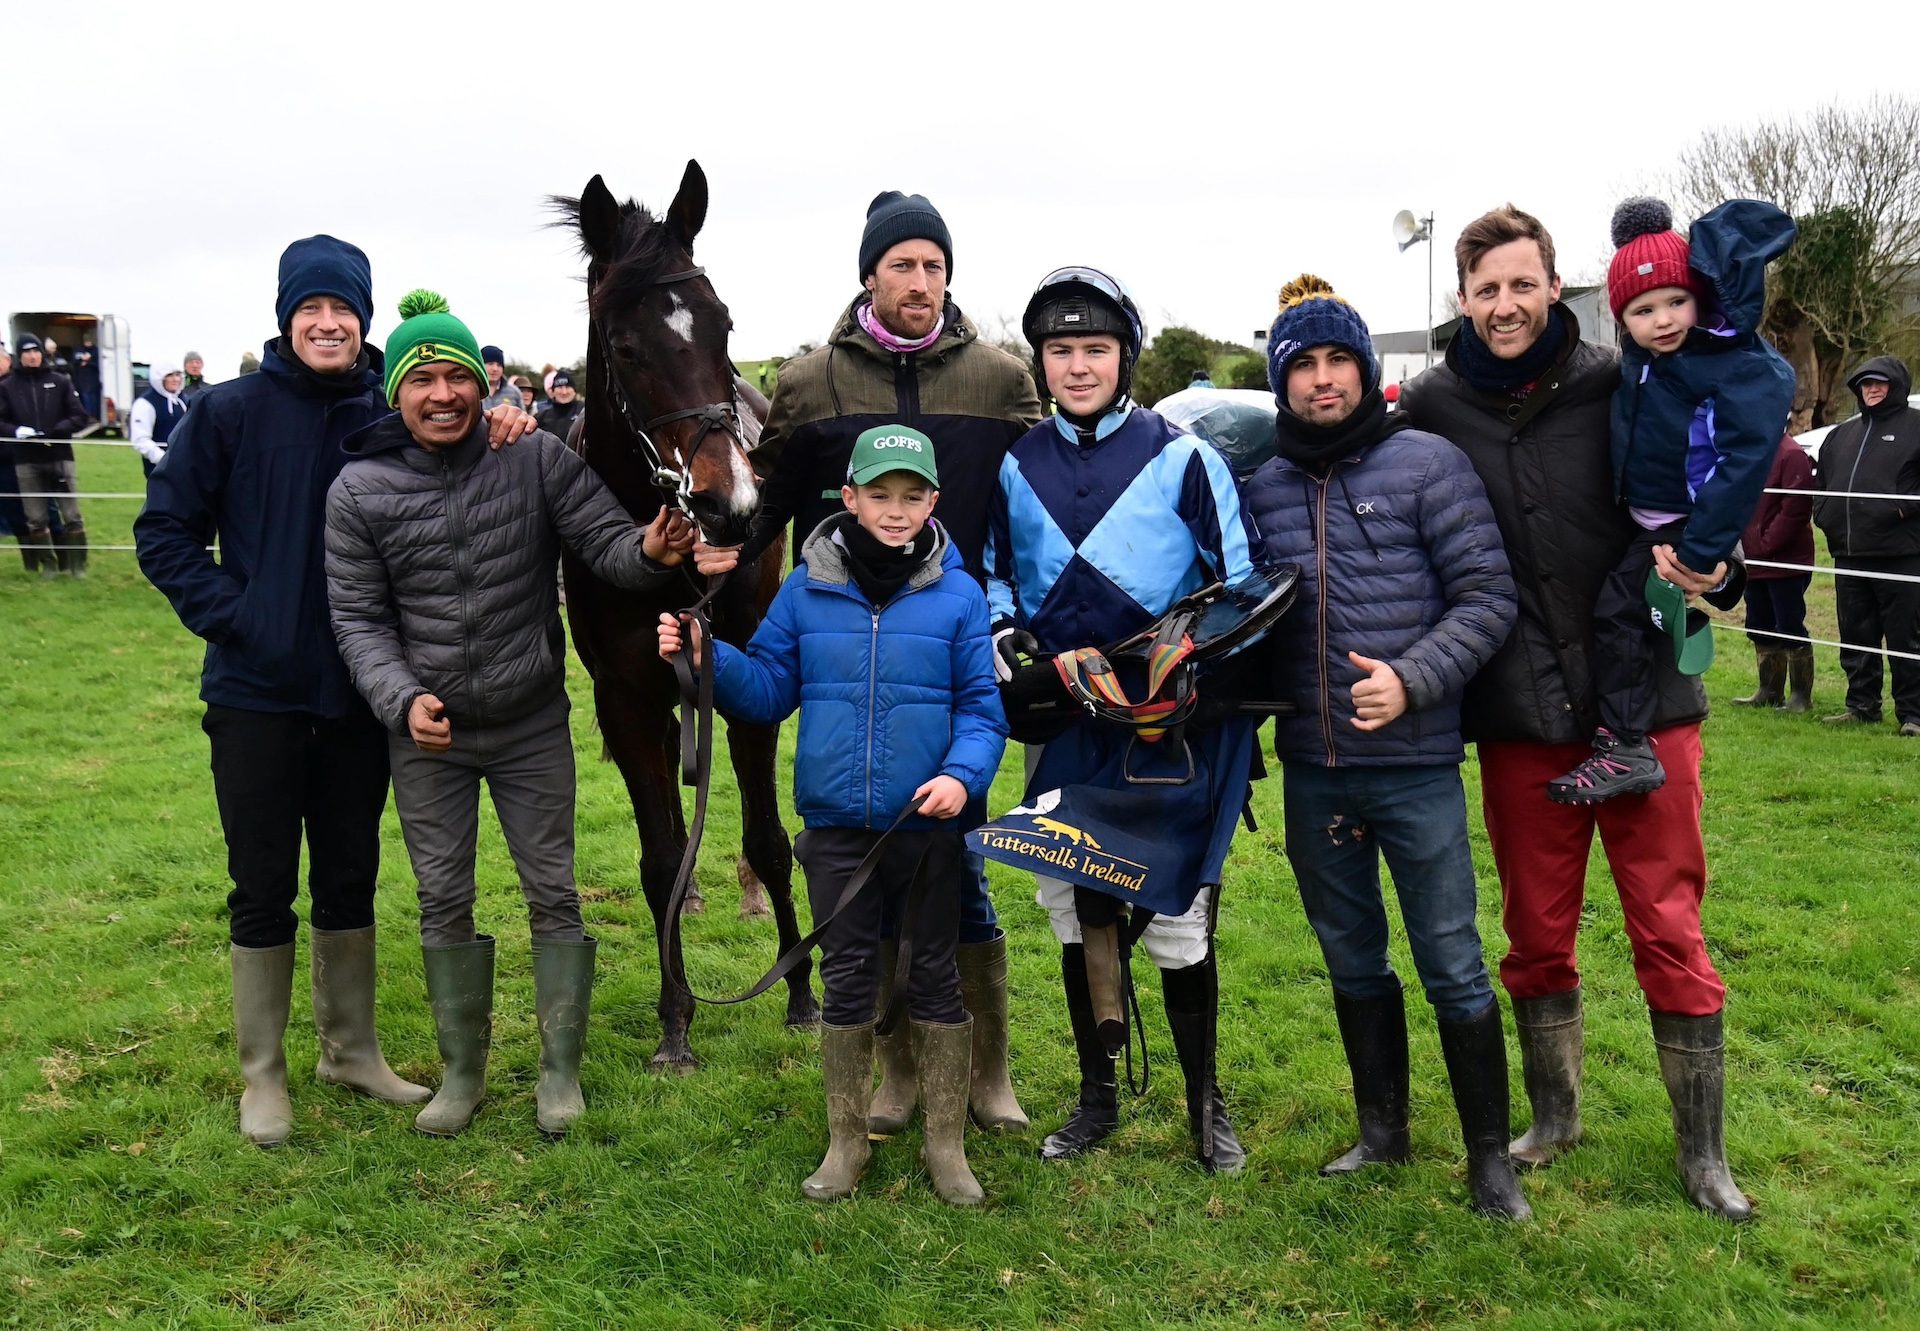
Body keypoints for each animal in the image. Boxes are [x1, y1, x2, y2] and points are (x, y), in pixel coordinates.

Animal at [560, 158, 821, 1067]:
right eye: (625, 346)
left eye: (724, 324)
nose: (727, 505)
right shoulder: (626, 699)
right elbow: (659, 855)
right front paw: (676, 1022)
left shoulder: (750, 688)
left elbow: (771, 841)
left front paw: (802, 996)